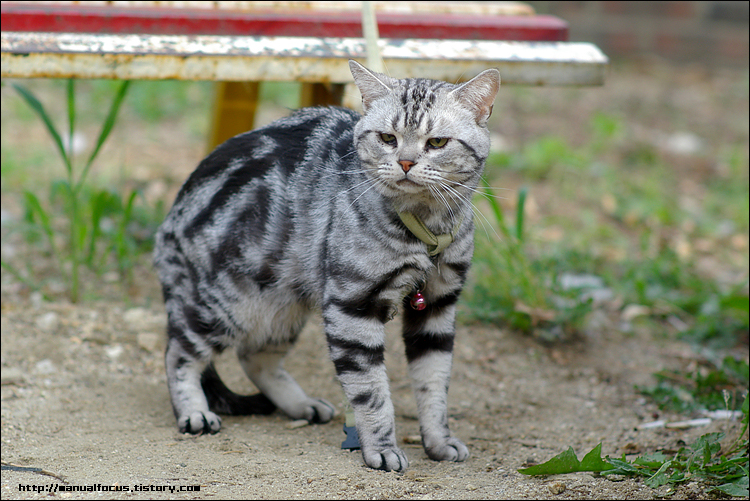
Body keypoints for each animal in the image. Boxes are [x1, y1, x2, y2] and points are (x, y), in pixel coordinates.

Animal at [154, 60, 500, 470]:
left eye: (436, 143)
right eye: (388, 138)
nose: (405, 162)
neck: (425, 228)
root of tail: (169, 219)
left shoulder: (437, 308)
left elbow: (434, 385)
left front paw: (438, 441)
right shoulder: (352, 307)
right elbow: (372, 392)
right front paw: (382, 448)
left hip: (283, 307)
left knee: (254, 358)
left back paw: (300, 404)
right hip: (222, 307)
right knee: (178, 352)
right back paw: (194, 412)